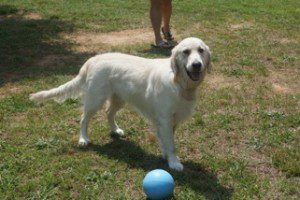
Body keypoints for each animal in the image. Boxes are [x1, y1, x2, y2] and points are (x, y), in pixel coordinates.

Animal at [29, 37, 211, 170]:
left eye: (201, 50)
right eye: (186, 52)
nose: (197, 65)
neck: (179, 83)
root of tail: (92, 60)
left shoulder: (171, 120)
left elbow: (167, 140)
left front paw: (167, 156)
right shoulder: (165, 118)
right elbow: (171, 144)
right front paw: (174, 162)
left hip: (119, 98)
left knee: (108, 113)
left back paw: (115, 130)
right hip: (96, 99)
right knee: (83, 119)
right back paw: (83, 139)